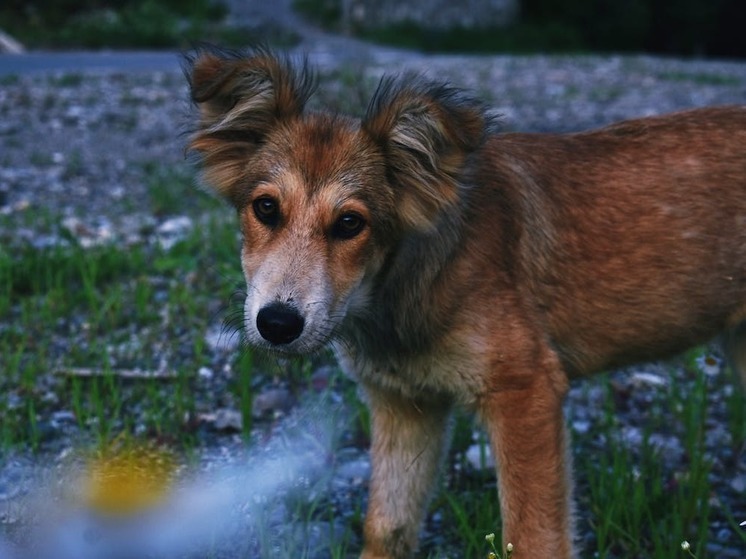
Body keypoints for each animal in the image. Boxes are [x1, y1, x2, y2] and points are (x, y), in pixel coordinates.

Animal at [182, 48, 744, 559]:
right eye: (265, 208)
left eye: (350, 223)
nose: (277, 324)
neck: (403, 286)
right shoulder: (405, 404)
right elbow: (387, 527)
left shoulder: (526, 391)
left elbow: (533, 540)